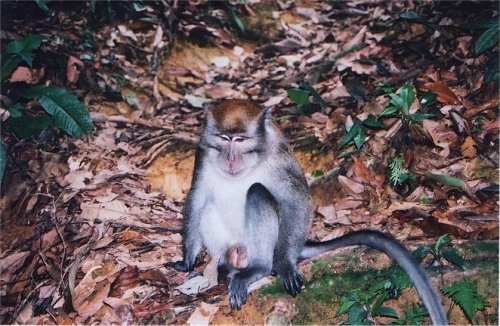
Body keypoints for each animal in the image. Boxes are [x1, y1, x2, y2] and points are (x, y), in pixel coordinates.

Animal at [170, 100, 448, 326]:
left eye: (240, 140)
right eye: (223, 138)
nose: (229, 158)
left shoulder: (278, 157)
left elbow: (296, 202)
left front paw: (284, 264)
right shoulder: (203, 152)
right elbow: (197, 198)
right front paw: (186, 262)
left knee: (258, 192)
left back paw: (258, 268)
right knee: (209, 206)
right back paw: (225, 265)